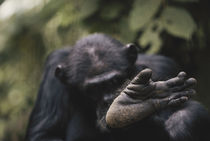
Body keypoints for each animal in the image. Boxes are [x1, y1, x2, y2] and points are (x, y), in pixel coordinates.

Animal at [25, 33, 210, 141]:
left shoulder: (164, 67)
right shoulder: (52, 79)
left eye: (115, 81)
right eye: (93, 89)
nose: (108, 100)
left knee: (187, 117)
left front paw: (135, 108)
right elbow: (45, 133)